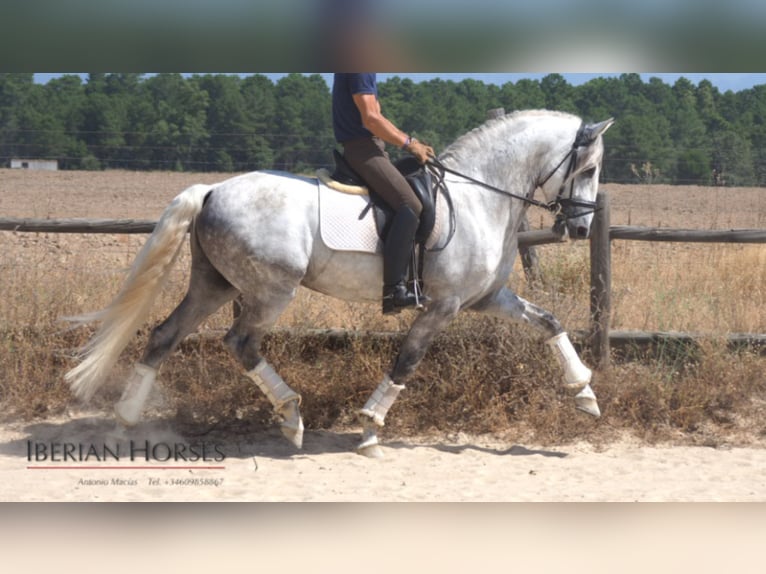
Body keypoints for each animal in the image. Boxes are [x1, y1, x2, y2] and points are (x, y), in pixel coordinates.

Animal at [67, 110, 616, 456]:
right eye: (589, 167)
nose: (580, 229)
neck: (481, 196)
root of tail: (212, 190)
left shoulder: (484, 298)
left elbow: (549, 322)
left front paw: (585, 394)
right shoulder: (441, 306)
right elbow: (407, 361)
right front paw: (370, 429)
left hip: (215, 284)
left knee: (165, 335)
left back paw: (127, 421)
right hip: (270, 290)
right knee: (240, 342)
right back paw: (290, 416)